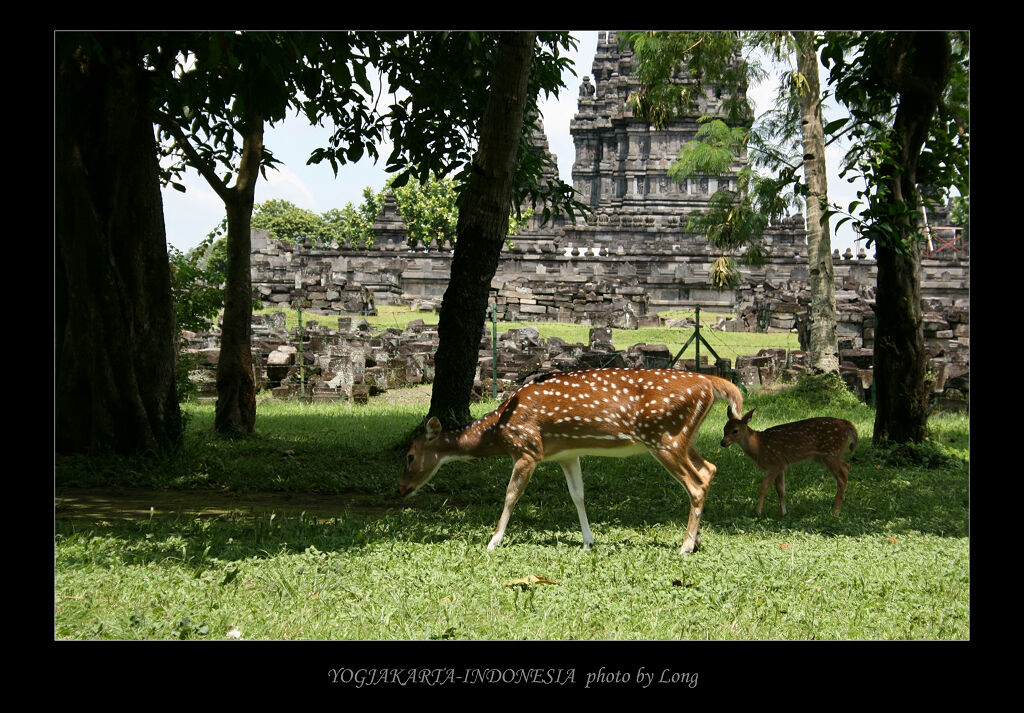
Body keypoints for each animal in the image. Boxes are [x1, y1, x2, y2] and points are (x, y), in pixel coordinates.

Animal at [395, 370, 741, 553]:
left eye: (410, 456)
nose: (400, 489)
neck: (498, 430)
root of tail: (711, 383)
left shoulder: (527, 449)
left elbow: (511, 494)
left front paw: (493, 541)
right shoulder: (566, 454)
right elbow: (578, 496)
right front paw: (588, 541)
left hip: (663, 437)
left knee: (695, 484)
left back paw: (684, 546)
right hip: (684, 438)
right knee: (709, 469)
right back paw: (696, 541)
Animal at [720, 409, 856, 514]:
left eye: (735, 430)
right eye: (724, 428)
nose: (723, 442)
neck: (759, 445)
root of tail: (845, 423)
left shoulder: (774, 464)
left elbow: (763, 487)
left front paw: (757, 512)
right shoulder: (781, 465)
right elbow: (781, 490)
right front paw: (783, 513)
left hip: (832, 453)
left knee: (842, 476)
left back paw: (836, 512)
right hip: (824, 456)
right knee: (846, 467)